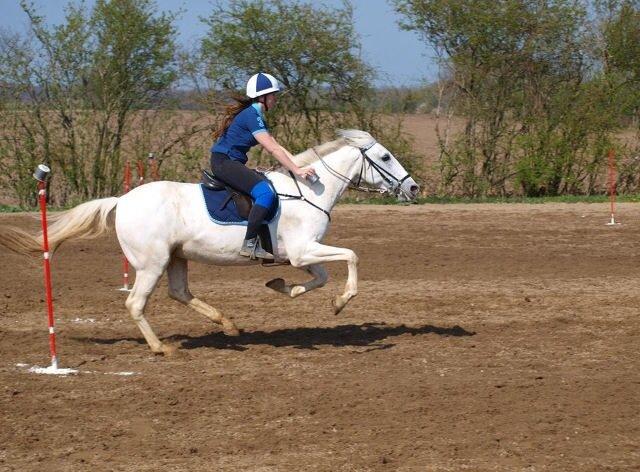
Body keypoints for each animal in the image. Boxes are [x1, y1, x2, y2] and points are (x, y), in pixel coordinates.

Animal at [0, 130, 420, 354]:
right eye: (385, 157)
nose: (414, 188)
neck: (310, 190)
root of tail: (122, 200)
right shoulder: (304, 251)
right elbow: (351, 256)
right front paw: (340, 303)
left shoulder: (301, 255)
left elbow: (320, 278)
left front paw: (284, 286)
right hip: (151, 263)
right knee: (136, 303)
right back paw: (161, 347)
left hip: (176, 258)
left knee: (180, 292)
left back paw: (228, 325)